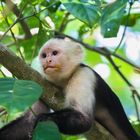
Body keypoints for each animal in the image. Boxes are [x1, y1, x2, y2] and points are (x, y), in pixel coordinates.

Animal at [0, 38, 139, 140]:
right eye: (44, 55)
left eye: (54, 53)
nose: (47, 60)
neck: (64, 80)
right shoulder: (41, 83)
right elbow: (27, 122)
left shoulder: (83, 74)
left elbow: (84, 119)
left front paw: (42, 119)